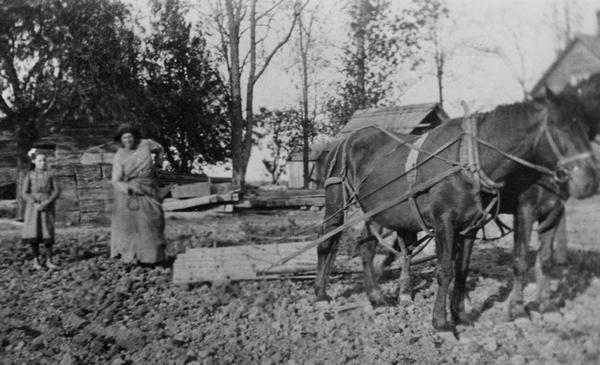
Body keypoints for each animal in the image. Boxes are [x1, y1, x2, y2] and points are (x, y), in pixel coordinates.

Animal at [316, 89, 596, 332]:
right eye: (561, 127)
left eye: (586, 125)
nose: (589, 181)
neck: (465, 160)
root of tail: (349, 138)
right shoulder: (455, 221)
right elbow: (449, 270)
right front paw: (442, 322)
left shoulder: (474, 225)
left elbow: (465, 270)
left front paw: (461, 314)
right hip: (338, 204)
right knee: (327, 242)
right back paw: (321, 295)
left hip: (378, 212)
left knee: (367, 246)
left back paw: (378, 297)